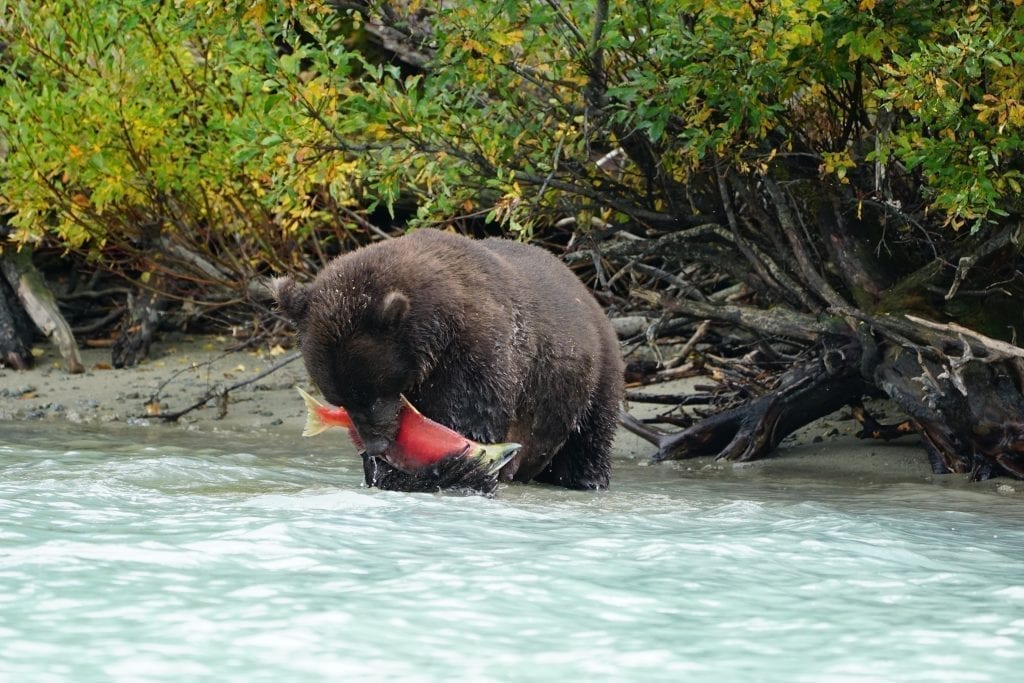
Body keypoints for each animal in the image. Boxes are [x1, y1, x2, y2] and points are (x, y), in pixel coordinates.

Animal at [272, 228, 618, 491]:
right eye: (340, 400)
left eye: (371, 396)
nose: (376, 446)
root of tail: (585, 290)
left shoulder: (476, 355)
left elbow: (469, 416)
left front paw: (458, 469)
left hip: (591, 375)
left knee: (589, 440)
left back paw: (586, 480)